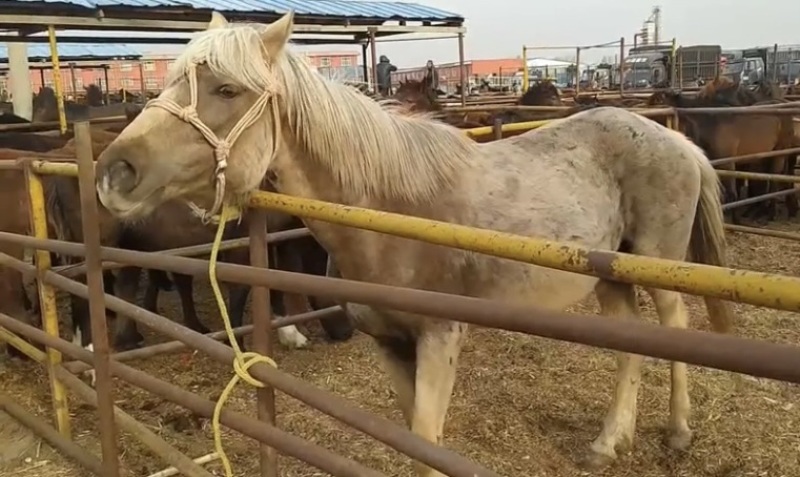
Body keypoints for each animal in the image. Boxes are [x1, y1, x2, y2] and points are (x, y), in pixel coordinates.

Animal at [94, 13, 736, 474]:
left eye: (225, 89)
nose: (113, 171)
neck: (390, 214)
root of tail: (676, 141)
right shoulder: (390, 343)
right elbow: (412, 439)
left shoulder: (438, 340)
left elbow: (429, 445)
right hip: (609, 278)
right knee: (632, 347)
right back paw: (607, 442)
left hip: (657, 267)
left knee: (676, 329)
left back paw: (678, 432)